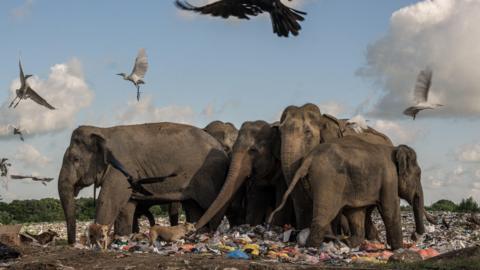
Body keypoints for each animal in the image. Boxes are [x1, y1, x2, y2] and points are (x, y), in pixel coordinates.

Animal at [58, 123, 229, 245]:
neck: (102, 131)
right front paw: (122, 237)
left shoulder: (121, 169)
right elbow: (126, 207)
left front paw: (95, 242)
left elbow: (107, 201)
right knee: (193, 206)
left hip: (208, 175)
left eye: (75, 159)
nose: (72, 244)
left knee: (212, 202)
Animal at [270, 136, 424, 250]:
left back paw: (335, 242)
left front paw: (350, 243)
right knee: (325, 214)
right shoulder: (389, 178)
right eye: (418, 174)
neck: (395, 149)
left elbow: (356, 212)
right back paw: (314, 247)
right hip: (328, 180)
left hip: (313, 182)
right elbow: (389, 208)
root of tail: (309, 158)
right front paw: (399, 250)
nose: (414, 236)